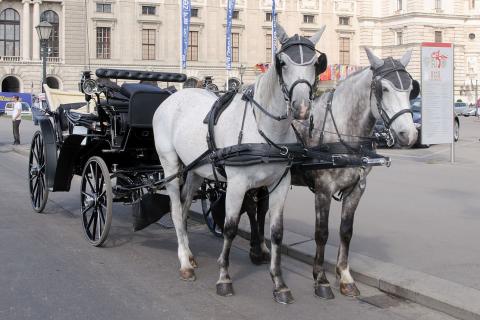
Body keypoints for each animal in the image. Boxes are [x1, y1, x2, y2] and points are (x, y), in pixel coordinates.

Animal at [154, 26, 326, 304]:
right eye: (282, 63)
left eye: (315, 64)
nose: (301, 108)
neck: (265, 130)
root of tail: (175, 96)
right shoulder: (236, 185)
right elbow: (230, 228)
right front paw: (224, 278)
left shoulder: (279, 184)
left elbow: (276, 232)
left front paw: (279, 283)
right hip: (170, 165)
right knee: (175, 208)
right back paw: (185, 263)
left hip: (195, 170)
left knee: (184, 204)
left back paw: (189, 253)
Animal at [246, 48, 418, 300]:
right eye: (384, 89)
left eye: (410, 87)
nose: (410, 134)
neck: (343, 134)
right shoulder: (323, 190)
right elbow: (322, 233)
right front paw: (321, 279)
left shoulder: (356, 189)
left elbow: (346, 232)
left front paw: (345, 277)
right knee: (251, 209)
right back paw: (255, 250)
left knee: (261, 210)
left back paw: (262, 247)